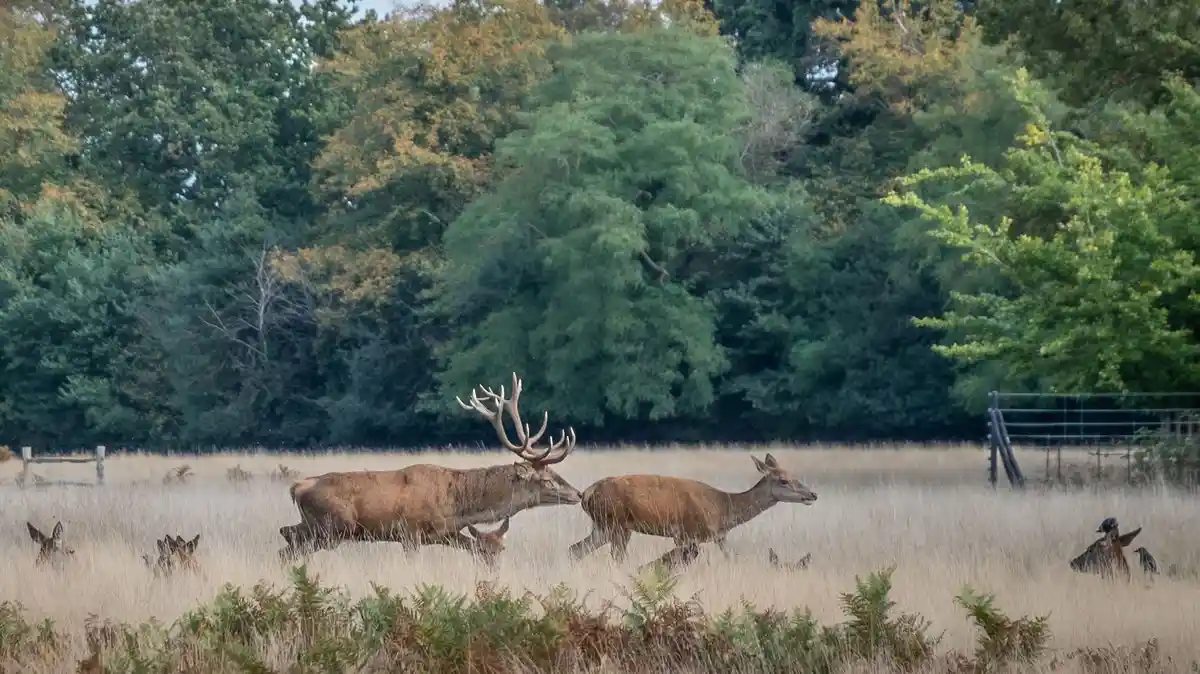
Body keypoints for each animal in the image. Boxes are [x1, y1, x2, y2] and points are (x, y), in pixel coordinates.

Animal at [279, 372, 581, 563]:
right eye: (546, 480)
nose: (577, 494)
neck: (457, 506)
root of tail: (297, 487)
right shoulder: (409, 533)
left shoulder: (443, 533)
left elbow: (472, 547)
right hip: (332, 527)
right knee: (290, 546)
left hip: (317, 526)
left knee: (286, 537)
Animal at [567, 453, 817, 565]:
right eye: (783, 480)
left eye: (794, 475)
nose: (812, 494)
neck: (724, 509)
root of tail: (587, 493)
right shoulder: (686, 533)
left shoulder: (719, 537)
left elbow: (730, 557)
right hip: (617, 523)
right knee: (616, 557)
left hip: (602, 526)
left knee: (575, 549)